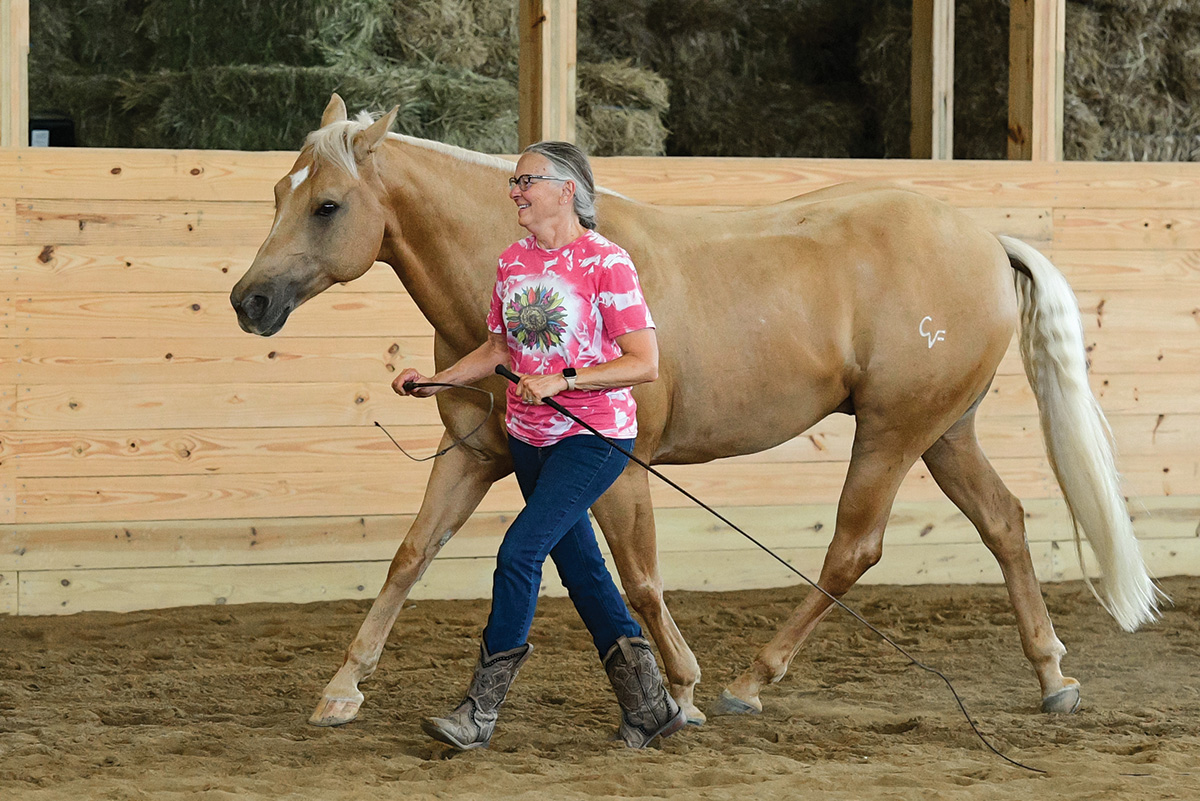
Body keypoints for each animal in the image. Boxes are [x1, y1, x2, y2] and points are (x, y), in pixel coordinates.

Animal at [229, 97, 1156, 729]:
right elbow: (409, 558)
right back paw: (1052, 676)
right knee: (1004, 521)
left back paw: (752, 680)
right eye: (277, 190)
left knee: (854, 548)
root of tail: (985, 240)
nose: (249, 300)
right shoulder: (475, 456)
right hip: (943, 431)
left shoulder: (618, 462)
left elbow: (638, 576)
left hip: (894, 432)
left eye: (327, 205)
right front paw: (342, 688)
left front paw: (682, 690)